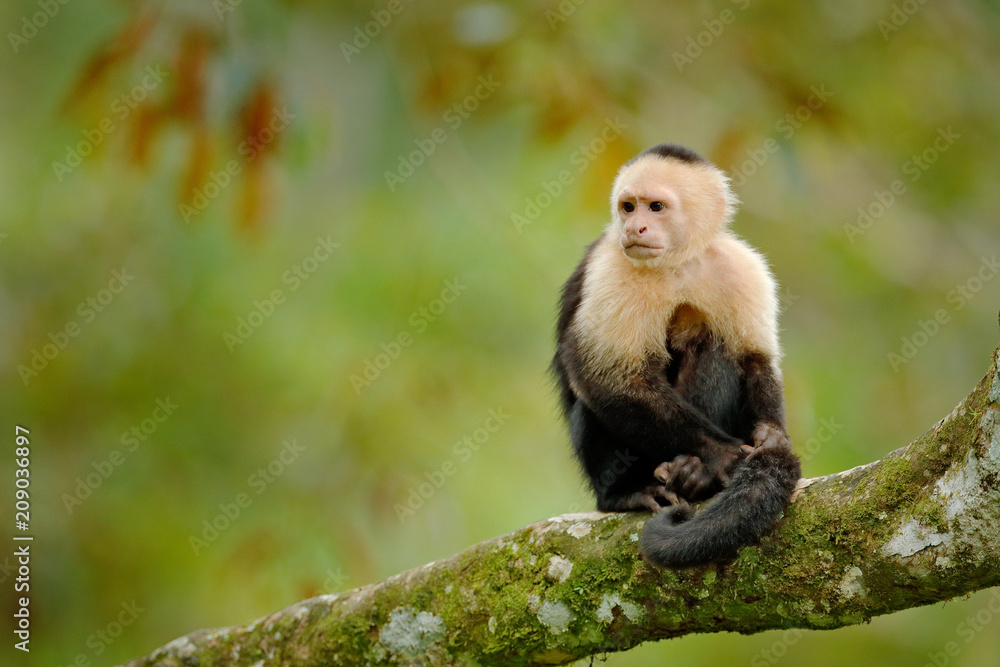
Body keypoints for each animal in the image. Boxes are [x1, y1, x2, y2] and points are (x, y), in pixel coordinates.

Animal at [552, 143, 800, 568]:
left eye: (655, 207)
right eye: (628, 207)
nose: (634, 228)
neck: (676, 263)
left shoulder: (742, 267)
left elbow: (755, 358)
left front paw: (772, 434)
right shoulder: (614, 268)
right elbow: (607, 376)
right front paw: (725, 456)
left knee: (714, 341)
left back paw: (693, 474)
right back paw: (625, 492)